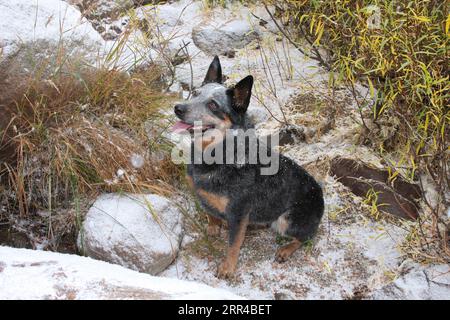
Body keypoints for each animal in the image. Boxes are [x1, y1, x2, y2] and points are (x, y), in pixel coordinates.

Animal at [172, 56, 324, 278]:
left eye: (213, 105)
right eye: (195, 93)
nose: (178, 108)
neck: (218, 155)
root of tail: (320, 193)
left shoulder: (238, 212)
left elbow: (234, 244)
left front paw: (228, 267)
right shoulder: (203, 196)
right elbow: (211, 214)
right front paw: (213, 227)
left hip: (287, 220)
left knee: (306, 237)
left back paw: (286, 249)